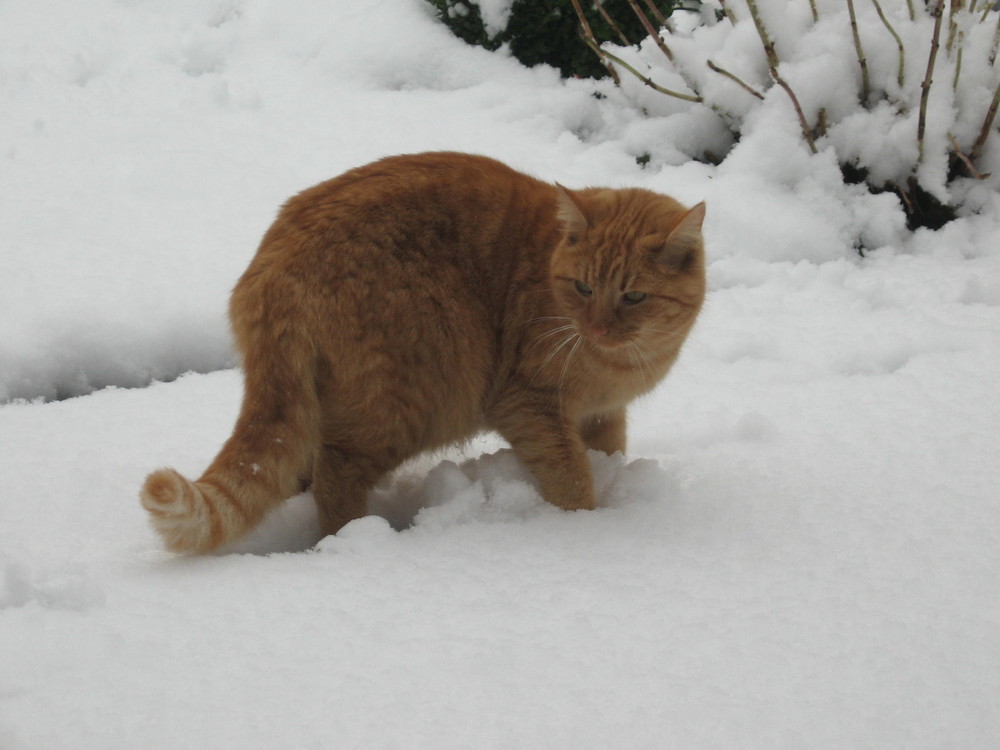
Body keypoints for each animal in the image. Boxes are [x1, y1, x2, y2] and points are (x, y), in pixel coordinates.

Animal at [139, 153, 704, 556]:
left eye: (634, 296)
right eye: (583, 288)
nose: (598, 327)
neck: (623, 361)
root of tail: (275, 267)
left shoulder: (603, 413)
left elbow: (608, 453)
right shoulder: (527, 404)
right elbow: (570, 473)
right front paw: (587, 525)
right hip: (420, 397)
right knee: (336, 471)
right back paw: (355, 541)